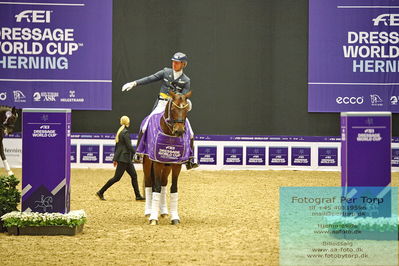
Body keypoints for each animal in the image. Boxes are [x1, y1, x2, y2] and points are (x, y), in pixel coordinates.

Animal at [138, 90, 193, 225]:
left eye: (186, 109)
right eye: (173, 108)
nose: (179, 131)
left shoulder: (176, 164)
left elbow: (173, 188)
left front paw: (175, 217)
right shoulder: (157, 163)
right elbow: (156, 187)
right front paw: (153, 218)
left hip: (167, 166)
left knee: (163, 184)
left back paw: (163, 211)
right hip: (147, 163)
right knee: (149, 183)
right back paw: (148, 212)